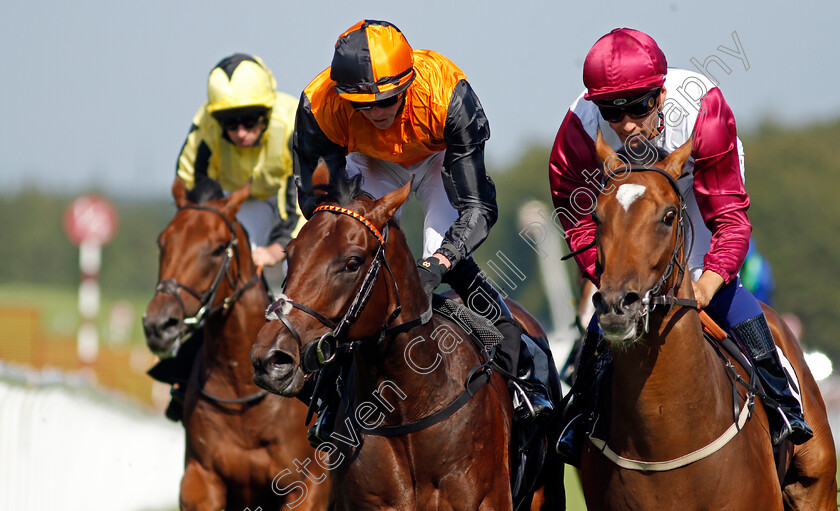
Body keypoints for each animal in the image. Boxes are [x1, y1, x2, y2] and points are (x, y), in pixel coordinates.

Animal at [143, 177, 330, 511]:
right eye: (163, 242)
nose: (159, 324)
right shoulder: (201, 479)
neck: (241, 390)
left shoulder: (308, 487)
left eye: (218, 249)